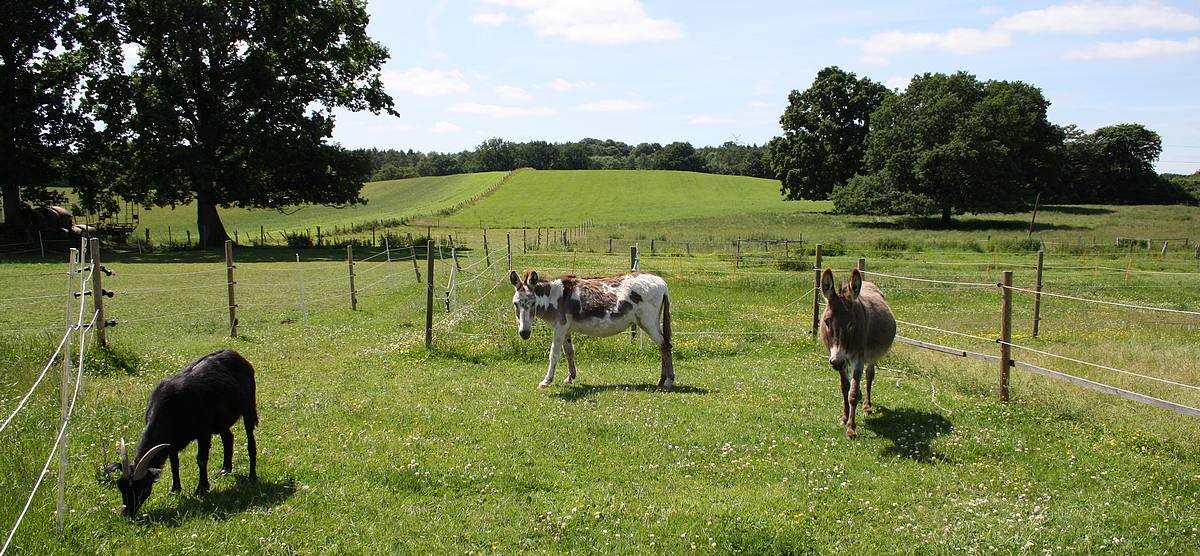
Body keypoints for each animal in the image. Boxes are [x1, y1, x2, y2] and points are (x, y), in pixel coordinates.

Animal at [115, 348, 259, 518]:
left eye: (142, 487)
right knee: (228, 437)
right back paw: (225, 469)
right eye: (121, 487)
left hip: (248, 407)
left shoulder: (204, 433)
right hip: (221, 420)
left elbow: (201, 460)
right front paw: (175, 489)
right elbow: (174, 463)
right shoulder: (171, 441)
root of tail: (238, 356)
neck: (170, 406)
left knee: (250, 441)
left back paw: (252, 476)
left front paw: (201, 489)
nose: (127, 513)